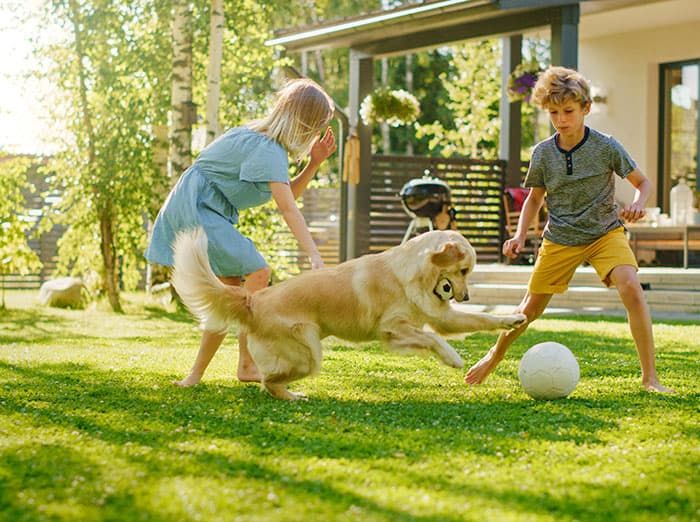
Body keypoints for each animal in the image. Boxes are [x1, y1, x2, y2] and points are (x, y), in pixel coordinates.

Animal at [174, 226, 524, 398]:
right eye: (463, 270)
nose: (466, 296)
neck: (411, 274)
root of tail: (253, 300)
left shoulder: (439, 317)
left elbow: (481, 319)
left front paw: (513, 318)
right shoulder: (392, 328)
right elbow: (432, 339)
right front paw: (452, 357)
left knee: (268, 380)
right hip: (309, 352)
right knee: (268, 381)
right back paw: (292, 396)